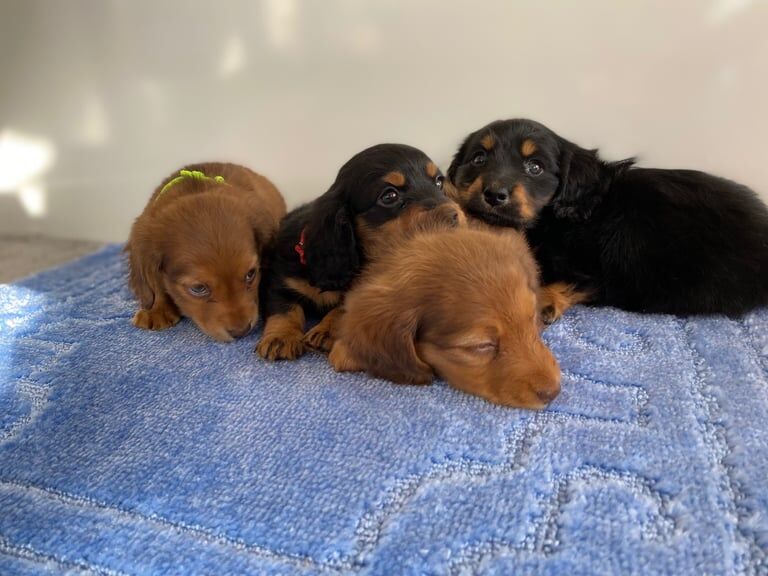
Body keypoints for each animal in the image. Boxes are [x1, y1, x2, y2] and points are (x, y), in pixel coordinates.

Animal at [258, 144, 462, 360]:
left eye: (439, 182)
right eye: (389, 196)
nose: (454, 215)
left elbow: (343, 308)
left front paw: (326, 330)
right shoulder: (280, 278)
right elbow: (283, 308)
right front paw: (280, 337)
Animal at [448, 118, 768, 320]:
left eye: (535, 167)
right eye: (478, 158)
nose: (494, 194)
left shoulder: (597, 266)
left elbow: (569, 277)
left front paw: (544, 301)